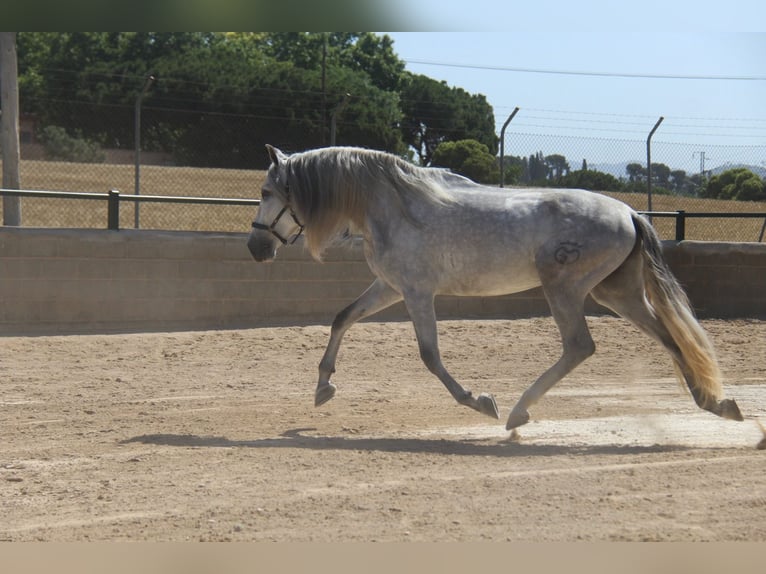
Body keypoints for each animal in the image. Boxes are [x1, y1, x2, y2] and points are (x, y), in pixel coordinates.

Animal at [248, 146, 744, 434]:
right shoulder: (390, 287)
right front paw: (323, 388)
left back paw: (517, 411)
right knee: (668, 337)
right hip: (615, 294)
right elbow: (343, 317)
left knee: (580, 346)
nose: (255, 248)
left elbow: (430, 355)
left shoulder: (416, 292)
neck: (395, 206)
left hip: (565, 289)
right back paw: (715, 403)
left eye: (267, 191)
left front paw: (478, 401)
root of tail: (629, 213)